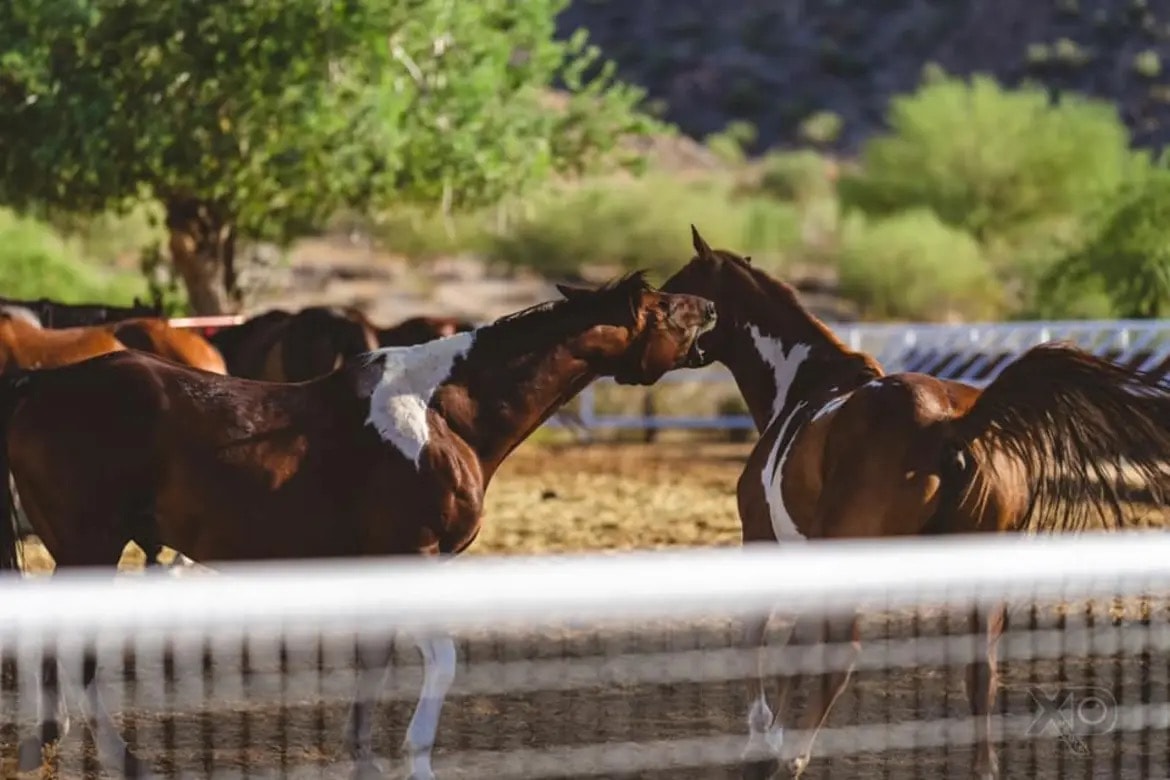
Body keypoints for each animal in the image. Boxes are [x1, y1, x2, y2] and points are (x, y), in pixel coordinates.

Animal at [0, 271, 717, 779]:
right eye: (661, 306)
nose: (710, 307)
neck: (441, 415)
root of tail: (36, 387)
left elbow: (374, 666)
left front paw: (364, 756)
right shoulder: (414, 556)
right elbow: (442, 659)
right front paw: (417, 760)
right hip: (91, 549)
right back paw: (121, 760)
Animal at [662, 227, 1170, 779]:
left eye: (675, 290)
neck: (803, 385)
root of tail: (950, 425)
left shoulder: (763, 540)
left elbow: (757, 637)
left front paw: (762, 740)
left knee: (841, 654)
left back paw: (792, 759)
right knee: (980, 671)